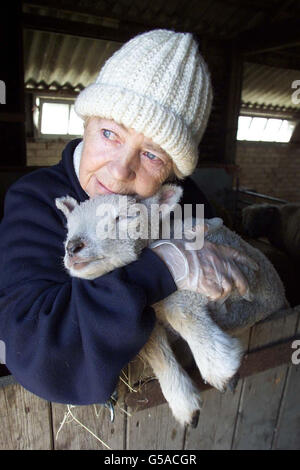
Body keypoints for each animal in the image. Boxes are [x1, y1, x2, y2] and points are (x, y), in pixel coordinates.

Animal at [55, 185, 288, 428]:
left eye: (124, 217)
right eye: (69, 226)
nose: (73, 247)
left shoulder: (240, 271)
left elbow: (179, 311)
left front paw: (220, 367)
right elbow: (153, 348)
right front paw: (185, 404)